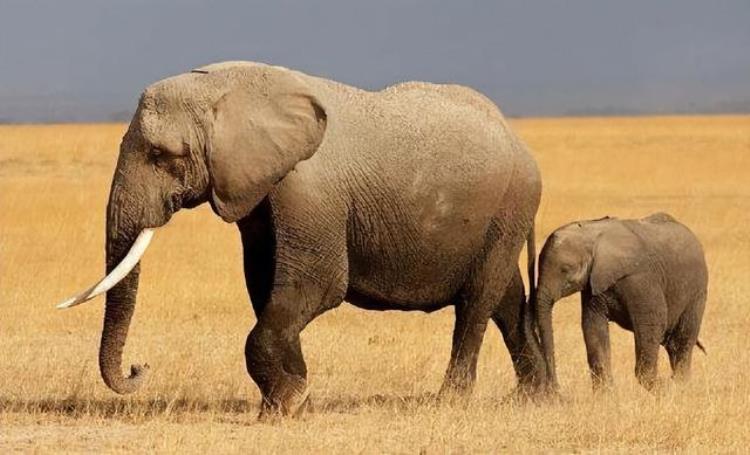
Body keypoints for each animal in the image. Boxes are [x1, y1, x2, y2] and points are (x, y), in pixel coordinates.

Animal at [60, 62, 548, 418]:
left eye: (162, 155)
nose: (139, 367)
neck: (228, 87)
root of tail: (520, 142)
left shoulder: (308, 189)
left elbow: (316, 285)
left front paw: (286, 405)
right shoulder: (257, 191)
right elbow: (265, 286)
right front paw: (292, 397)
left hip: (511, 204)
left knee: (476, 303)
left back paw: (450, 401)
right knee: (506, 299)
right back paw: (537, 396)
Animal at [536, 215, 708, 392]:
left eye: (565, 269)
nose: (555, 387)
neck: (591, 233)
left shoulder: (640, 278)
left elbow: (652, 324)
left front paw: (661, 388)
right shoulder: (593, 284)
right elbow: (593, 327)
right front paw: (605, 393)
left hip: (697, 292)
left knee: (682, 341)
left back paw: (681, 385)